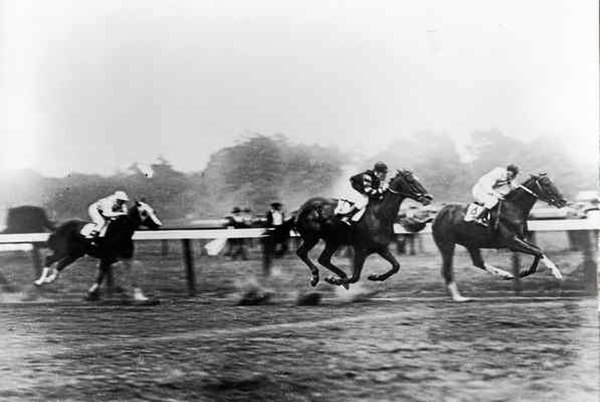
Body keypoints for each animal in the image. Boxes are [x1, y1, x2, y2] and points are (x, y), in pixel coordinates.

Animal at [34, 201, 162, 298]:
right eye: (144, 213)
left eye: (154, 211)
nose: (158, 225)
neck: (119, 232)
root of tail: (59, 227)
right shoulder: (106, 258)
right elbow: (101, 275)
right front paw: (92, 292)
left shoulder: (125, 258)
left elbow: (132, 275)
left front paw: (141, 297)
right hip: (63, 250)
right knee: (49, 259)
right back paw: (39, 281)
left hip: (75, 253)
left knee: (61, 264)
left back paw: (49, 279)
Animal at [276, 171, 432, 288]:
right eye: (411, 180)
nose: (428, 197)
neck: (379, 215)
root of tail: (301, 210)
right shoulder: (360, 249)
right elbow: (355, 277)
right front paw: (334, 280)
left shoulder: (380, 247)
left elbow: (396, 266)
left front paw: (375, 276)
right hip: (312, 237)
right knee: (302, 253)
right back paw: (316, 277)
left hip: (333, 241)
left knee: (323, 259)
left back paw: (337, 275)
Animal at [432, 173, 568, 302]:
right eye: (546, 184)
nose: (564, 200)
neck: (513, 209)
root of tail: (439, 214)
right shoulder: (512, 242)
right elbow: (537, 251)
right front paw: (531, 272)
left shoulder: (520, 239)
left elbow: (538, 250)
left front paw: (555, 272)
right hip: (447, 244)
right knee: (447, 270)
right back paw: (458, 297)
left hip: (471, 243)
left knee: (478, 262)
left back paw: (505, 275)